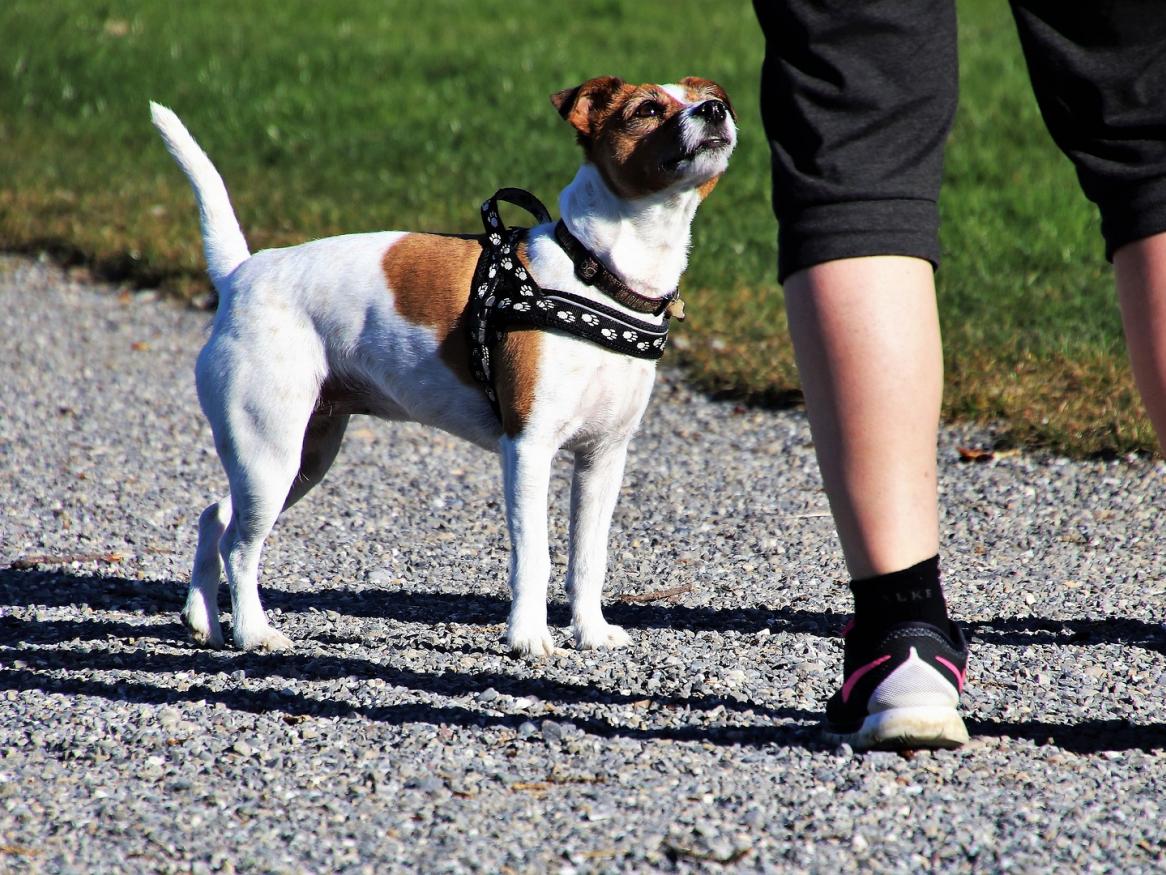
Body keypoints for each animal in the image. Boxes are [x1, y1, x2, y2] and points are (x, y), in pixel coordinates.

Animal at [150, 77, 736, 658]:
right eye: (648, 109)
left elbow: (588, 558)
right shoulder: (528, 449)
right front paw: (528, 637)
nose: (716, 110)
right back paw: (252, 631)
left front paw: (590, 631)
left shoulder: (602, 459)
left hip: (299, 459)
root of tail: (239, 274)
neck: (596, 275)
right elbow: (534, 557)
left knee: (215, 517)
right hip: (269, 455)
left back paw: (202, 619)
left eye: (709, 97)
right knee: (240, 546)